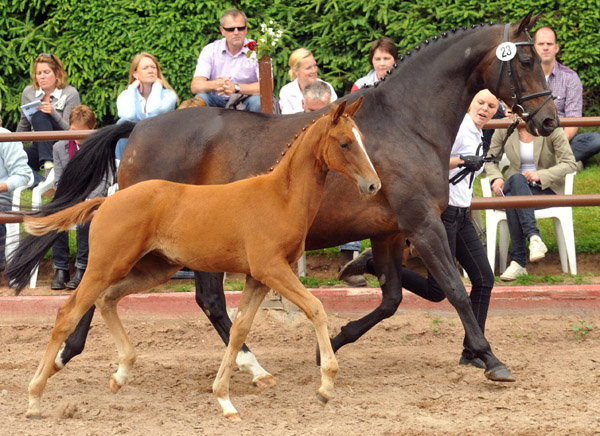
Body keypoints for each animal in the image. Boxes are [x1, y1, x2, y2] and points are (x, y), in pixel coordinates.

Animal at [24, 97, 380, 420]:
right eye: (345, 143)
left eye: (362, 138)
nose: (373, 185)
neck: (281, 197)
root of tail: (107, 201)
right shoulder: (272, 269)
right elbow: (316, 308)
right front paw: (326, 385)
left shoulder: (258, 277)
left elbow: (239, 329)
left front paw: (225, 399)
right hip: (107, 265)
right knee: (68, 314)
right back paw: (35, 397)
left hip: (153, 269)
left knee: (107, 300)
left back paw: (120, 374)